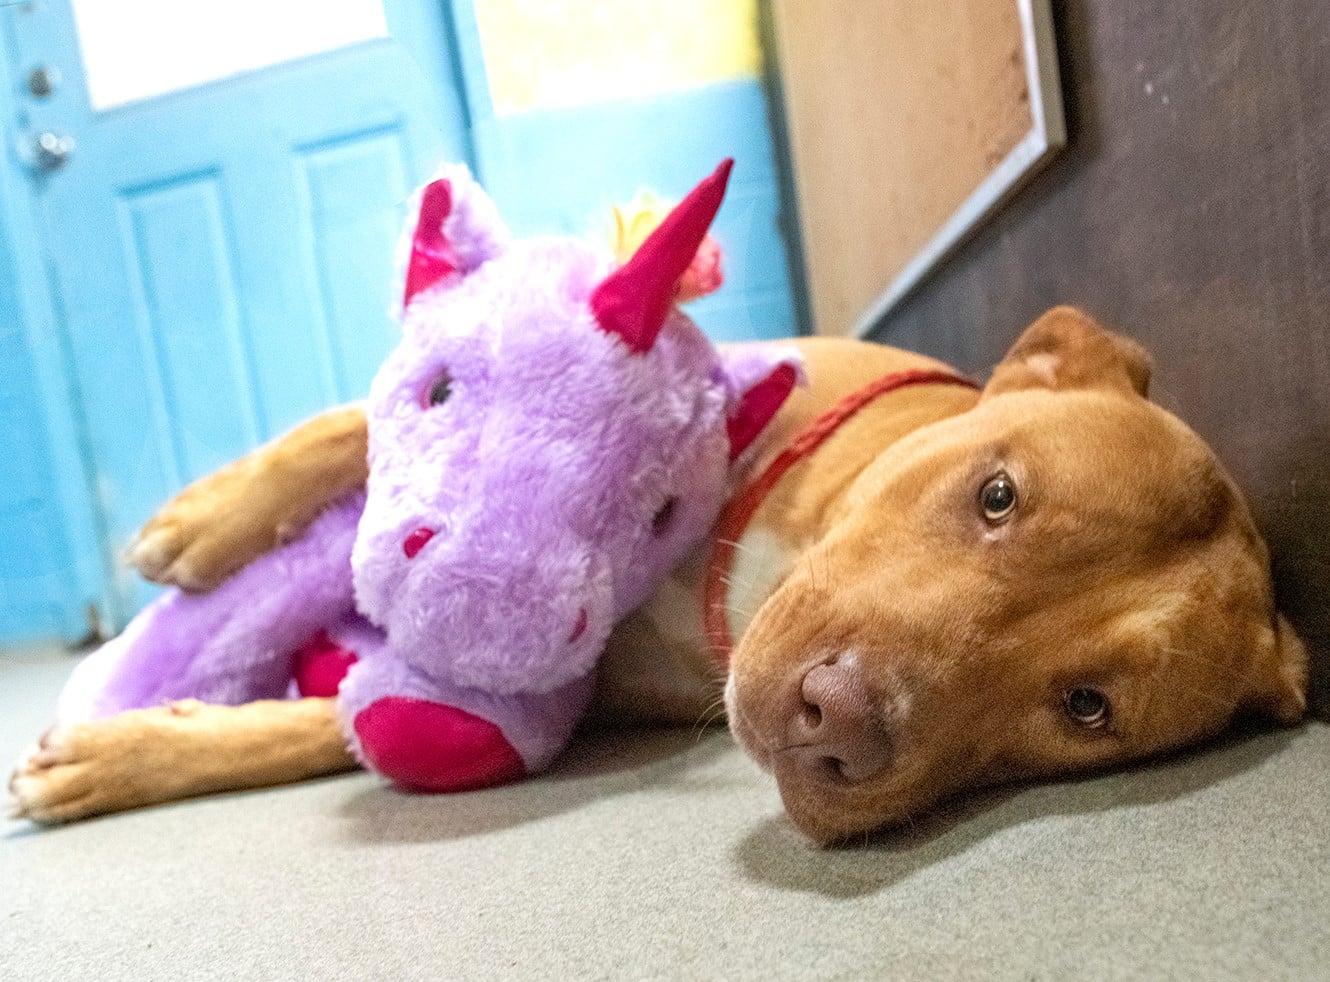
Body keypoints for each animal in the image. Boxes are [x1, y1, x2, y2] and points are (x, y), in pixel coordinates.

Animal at [9, 308, 1308, 842]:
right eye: (998, 496)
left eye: (1083, 708)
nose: (831, 721)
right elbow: (360, 422)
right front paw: (206, 518)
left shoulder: (562, 697)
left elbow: (336, 725)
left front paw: (124, 758)